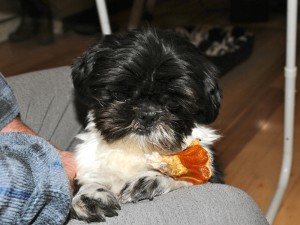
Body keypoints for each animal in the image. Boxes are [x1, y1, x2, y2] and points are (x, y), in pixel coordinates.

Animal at [69, 27, 220, 222]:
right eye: (120, 94)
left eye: (173, 102)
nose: (148, 114)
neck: (136, 151)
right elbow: (90, 179)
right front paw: (91, 194)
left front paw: (153, 178)